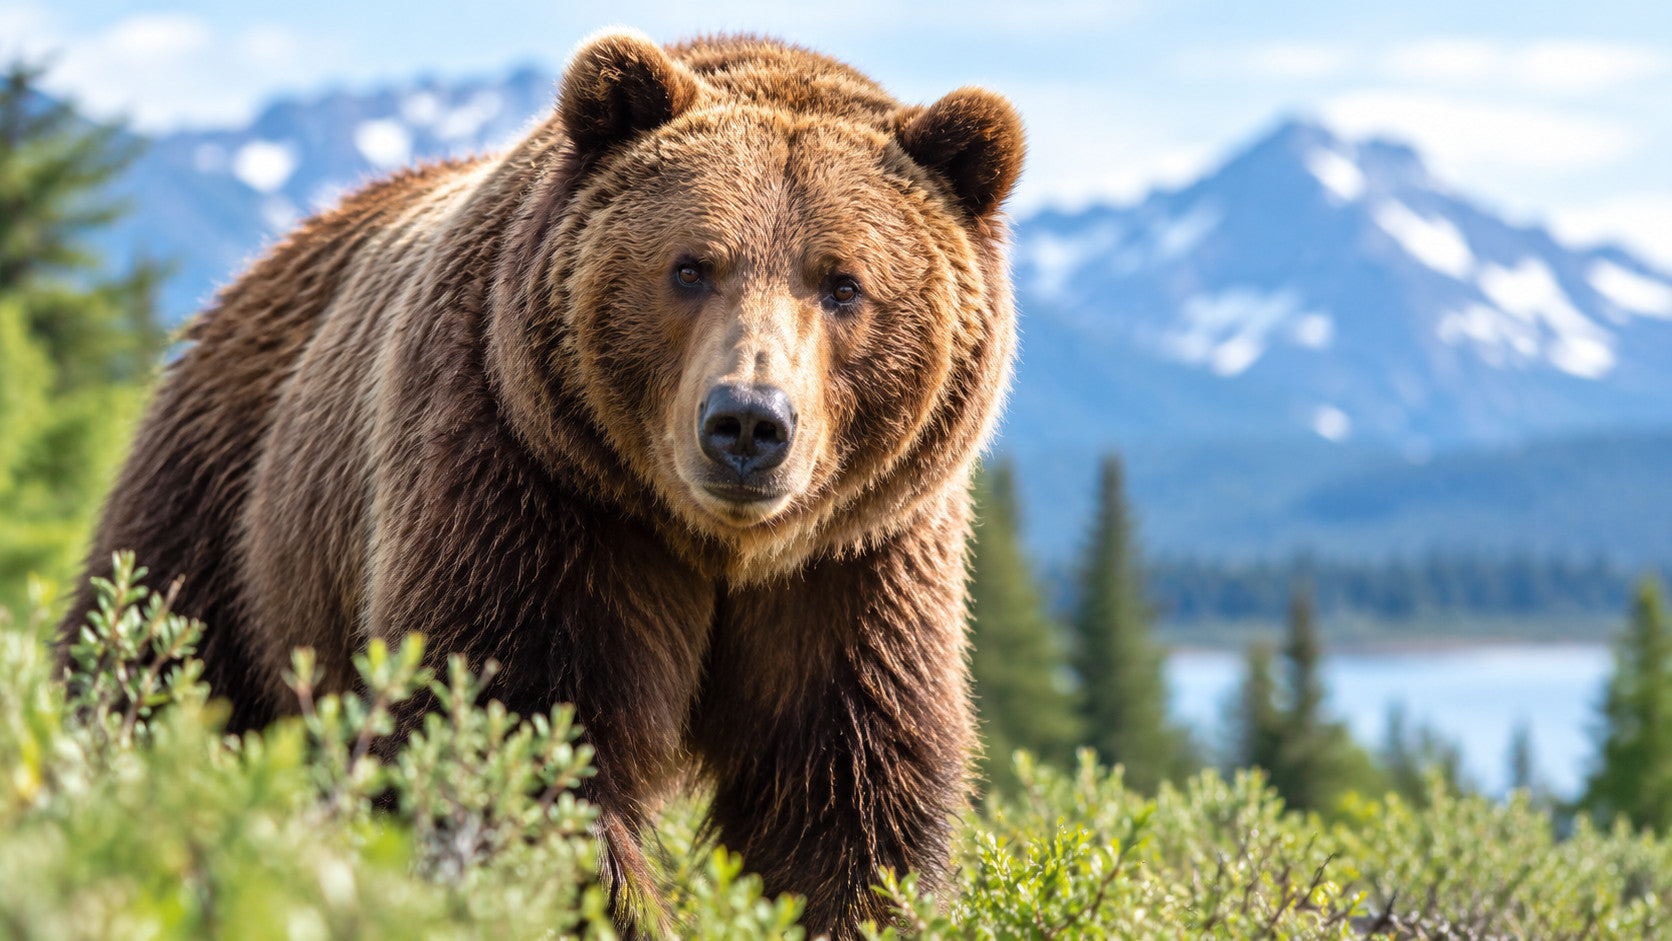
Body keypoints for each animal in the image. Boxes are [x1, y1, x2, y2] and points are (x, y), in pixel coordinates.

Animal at [62, 31, 1022, 937]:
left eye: (843, 283)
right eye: (690, 265)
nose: (748, 422)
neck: (717, 546)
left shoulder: (856, 565)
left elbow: (844, 797)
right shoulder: (534, 494)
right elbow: (512, 736)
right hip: (225, 510)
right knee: (151, 661)